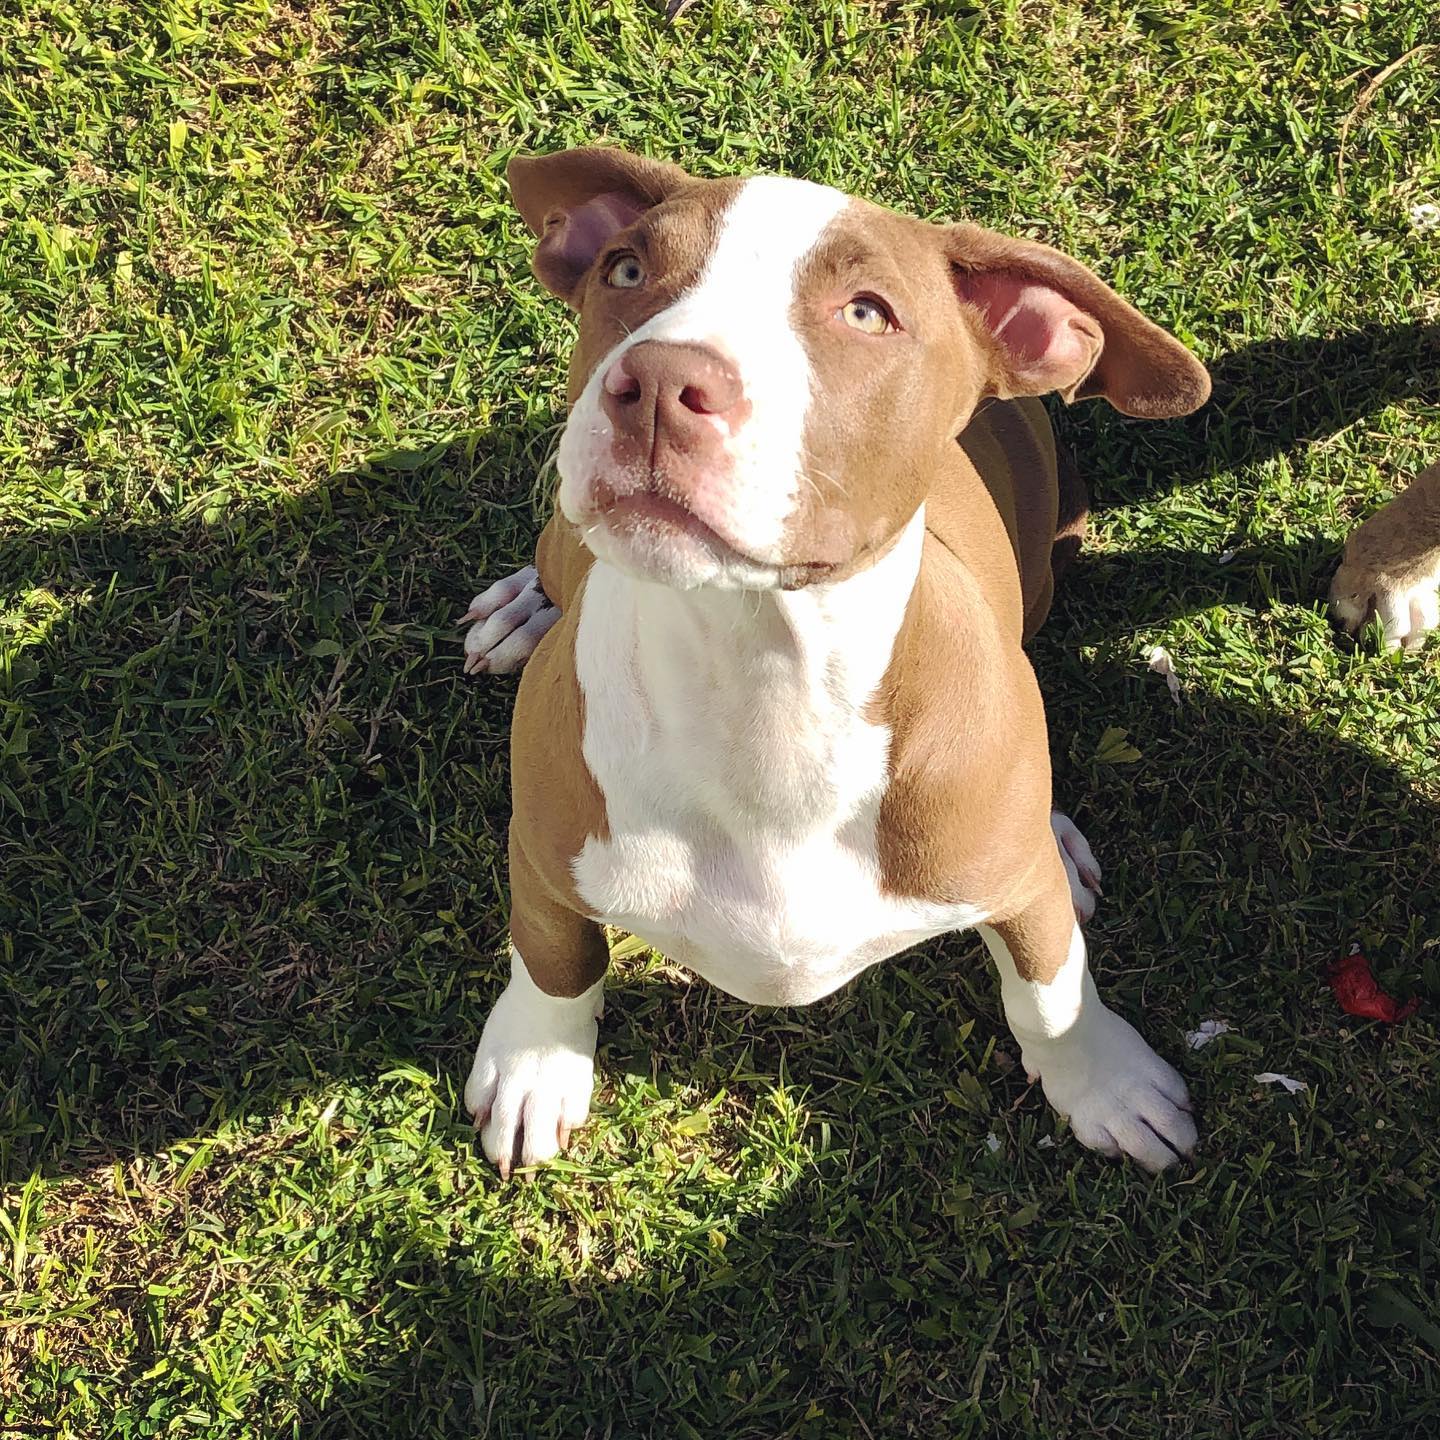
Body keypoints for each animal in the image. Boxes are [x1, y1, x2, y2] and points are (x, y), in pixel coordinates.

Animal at [455, 143, 1209, 1180]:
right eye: (627, 270)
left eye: (866, 312)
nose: (657, 383)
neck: (765, 679)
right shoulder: (542, 850)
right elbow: (554, 960)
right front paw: (535, 1065)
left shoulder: (1023, 905)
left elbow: (1051, 992)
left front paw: (1107, 1082)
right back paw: (523, 606)